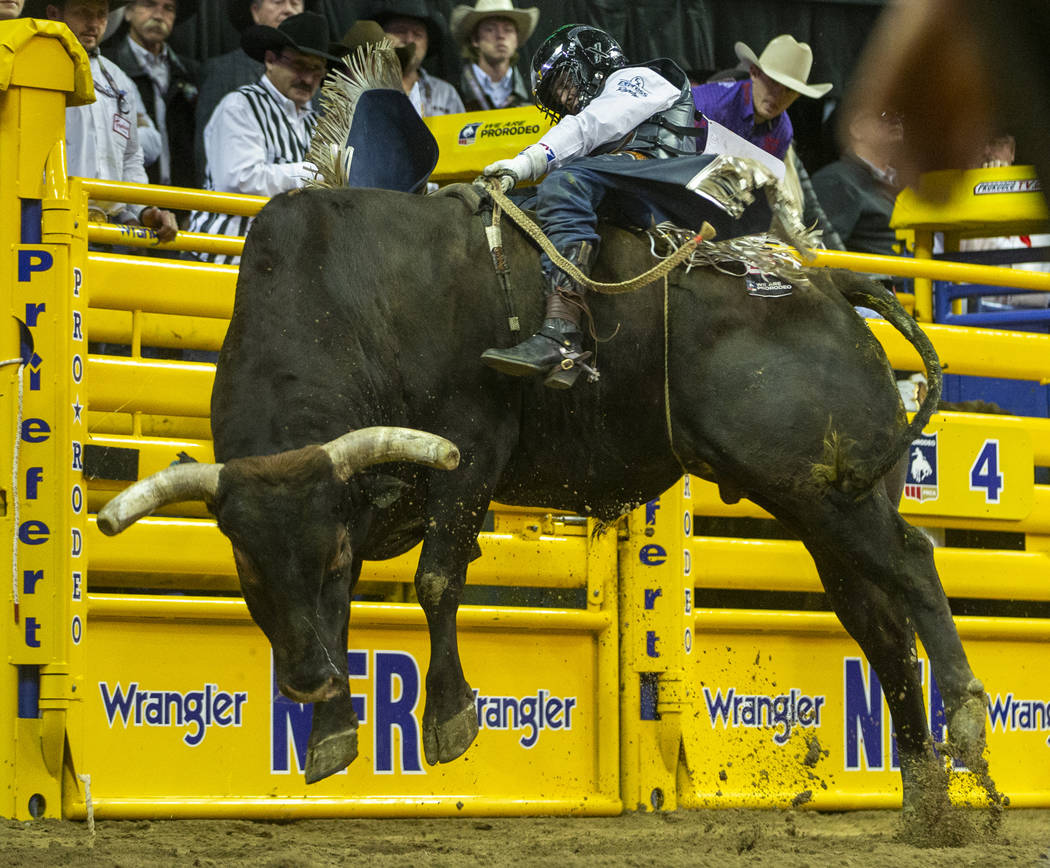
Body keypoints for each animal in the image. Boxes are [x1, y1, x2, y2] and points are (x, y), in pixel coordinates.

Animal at [98, 186, 999, 818]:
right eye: (248, 569)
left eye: (330, 554)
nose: (308, 682)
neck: (350, 300)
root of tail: (825, 281)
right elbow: (346, 610)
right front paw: (330, 735)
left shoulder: (468, 454)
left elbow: (436, 579)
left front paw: (449, 718)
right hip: (822, 509)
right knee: (878, 623)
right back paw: (926, 799)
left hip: (822, 488)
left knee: (913, 561)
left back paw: (964, 716)